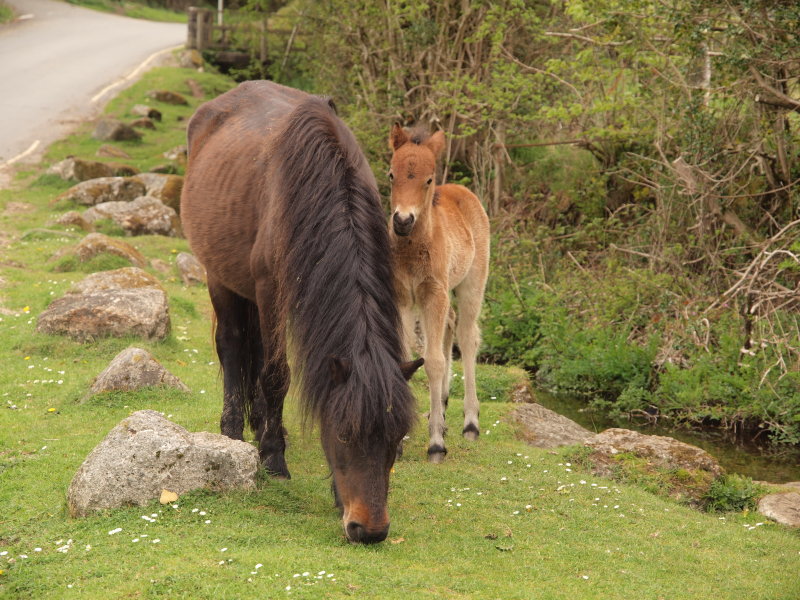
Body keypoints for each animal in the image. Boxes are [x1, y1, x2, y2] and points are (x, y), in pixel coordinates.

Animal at [178, 82, 422, 548]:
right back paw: (233, 431)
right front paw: (274, 460)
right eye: (344, 433)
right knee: (233, 346)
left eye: (396, 437)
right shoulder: (271, 290)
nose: (369, 530)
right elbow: (277, 375)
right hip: (221, 277)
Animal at [386, 123, 490, 464]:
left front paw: (435, 444)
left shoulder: (434, 293)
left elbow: (432, 361)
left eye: (428, 180)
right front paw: (401, 439)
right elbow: (406, 359)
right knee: (450, 325)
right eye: (391, 174)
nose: (402, 221)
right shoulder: (403, 297)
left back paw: (469, 424)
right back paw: (441, 410)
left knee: (468, 337)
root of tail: (463, 191)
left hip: (472, 284)